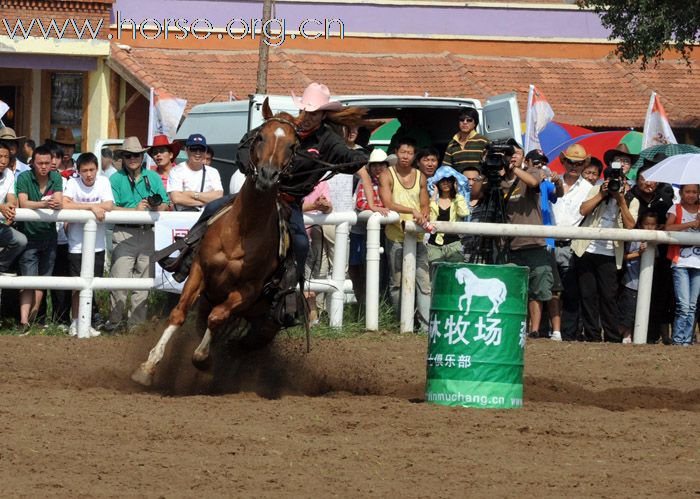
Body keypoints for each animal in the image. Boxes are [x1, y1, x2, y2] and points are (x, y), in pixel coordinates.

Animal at [131, 98, 298, 386]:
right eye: (260, 137)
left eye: (291, 145)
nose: (267, 175)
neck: (242, 230)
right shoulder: (200, 269)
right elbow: (179, 313)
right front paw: (148, 366)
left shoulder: (248, 290)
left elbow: (217, 317)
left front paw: (202, 359)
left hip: (265, 324)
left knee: (240, 343)